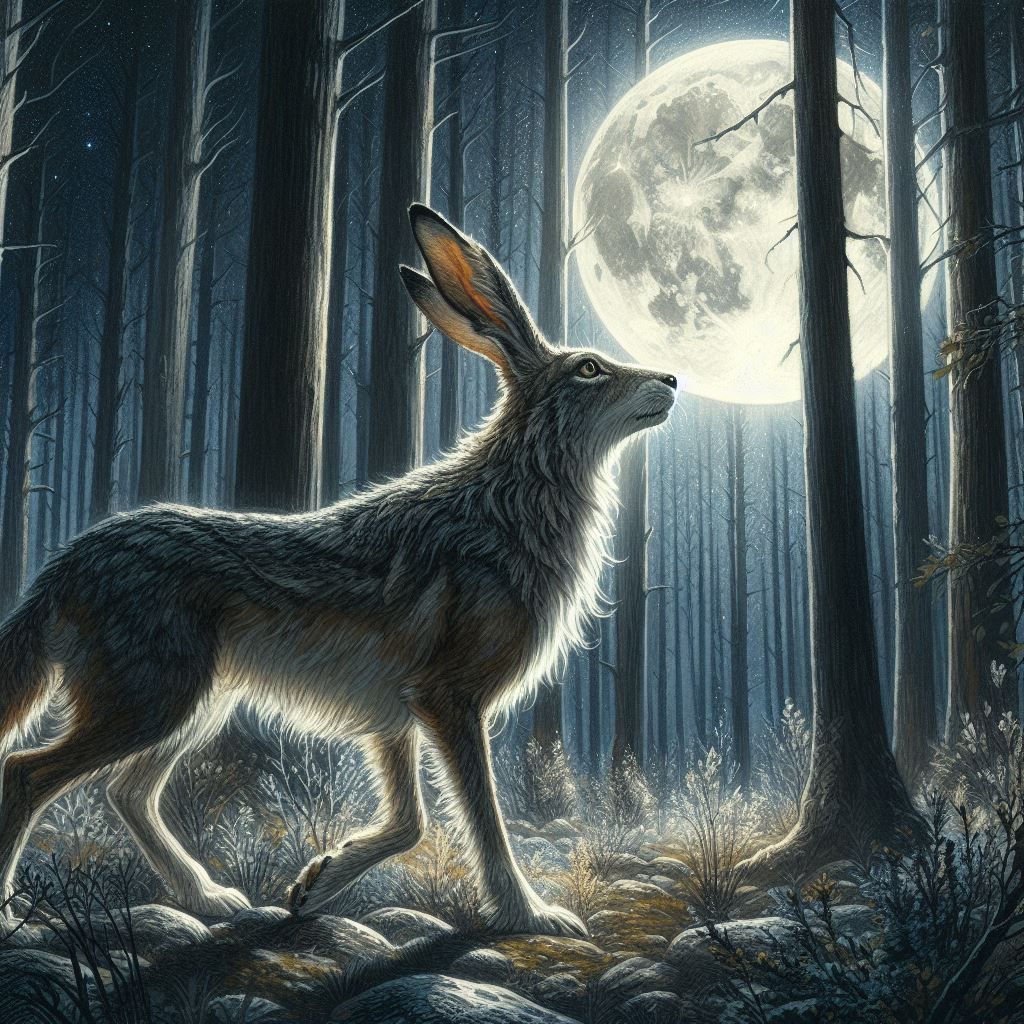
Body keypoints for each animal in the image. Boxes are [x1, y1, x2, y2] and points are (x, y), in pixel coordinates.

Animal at [0, 204, 676, 937]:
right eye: (589, 367)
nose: (673, 380)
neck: (512, 496)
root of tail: (62, 568)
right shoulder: (447, 699)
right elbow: (480, 818)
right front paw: (532, 914)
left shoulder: (397, 714)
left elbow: (410, 823)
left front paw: (316, 882)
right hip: (154, 698)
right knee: (27, 773)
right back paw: (12, 912)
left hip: (194, 704)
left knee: (126, 792)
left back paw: (209, 898)